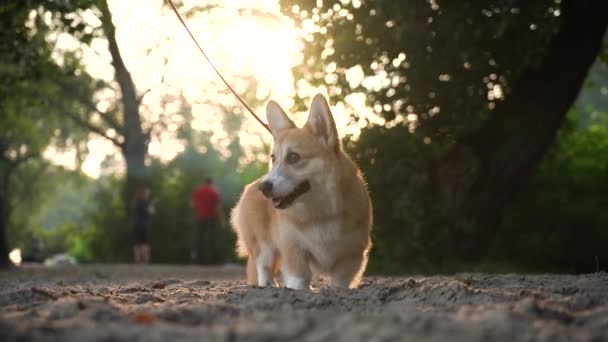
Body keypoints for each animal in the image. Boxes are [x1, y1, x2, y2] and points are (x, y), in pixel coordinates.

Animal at [230, 93, 370, 288]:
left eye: (293, 157)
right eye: (273, 158)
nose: (263, 188)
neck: (321, 212)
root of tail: (250, 186)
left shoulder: (351, 256)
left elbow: (339, 283)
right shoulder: (293, 250)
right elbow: (298, 280)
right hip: (263, 246)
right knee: (263, 266)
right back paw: (268, 285)